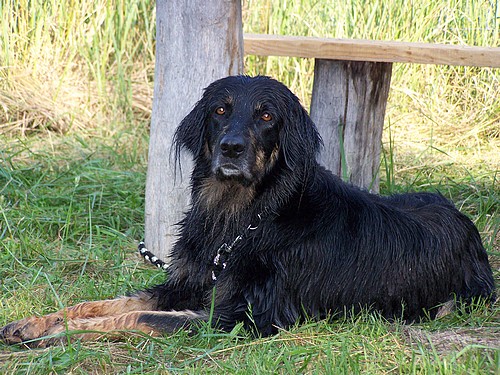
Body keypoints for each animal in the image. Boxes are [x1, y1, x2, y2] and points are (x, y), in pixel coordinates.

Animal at [0, 75, 496, 348]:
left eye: (267, 116)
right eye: (221, 110)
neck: (241, 219)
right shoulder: (188, 284)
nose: (232, 148)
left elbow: (129, 317)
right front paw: (35, 323)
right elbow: (98, 304)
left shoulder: (241, 317)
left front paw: (57, 337)